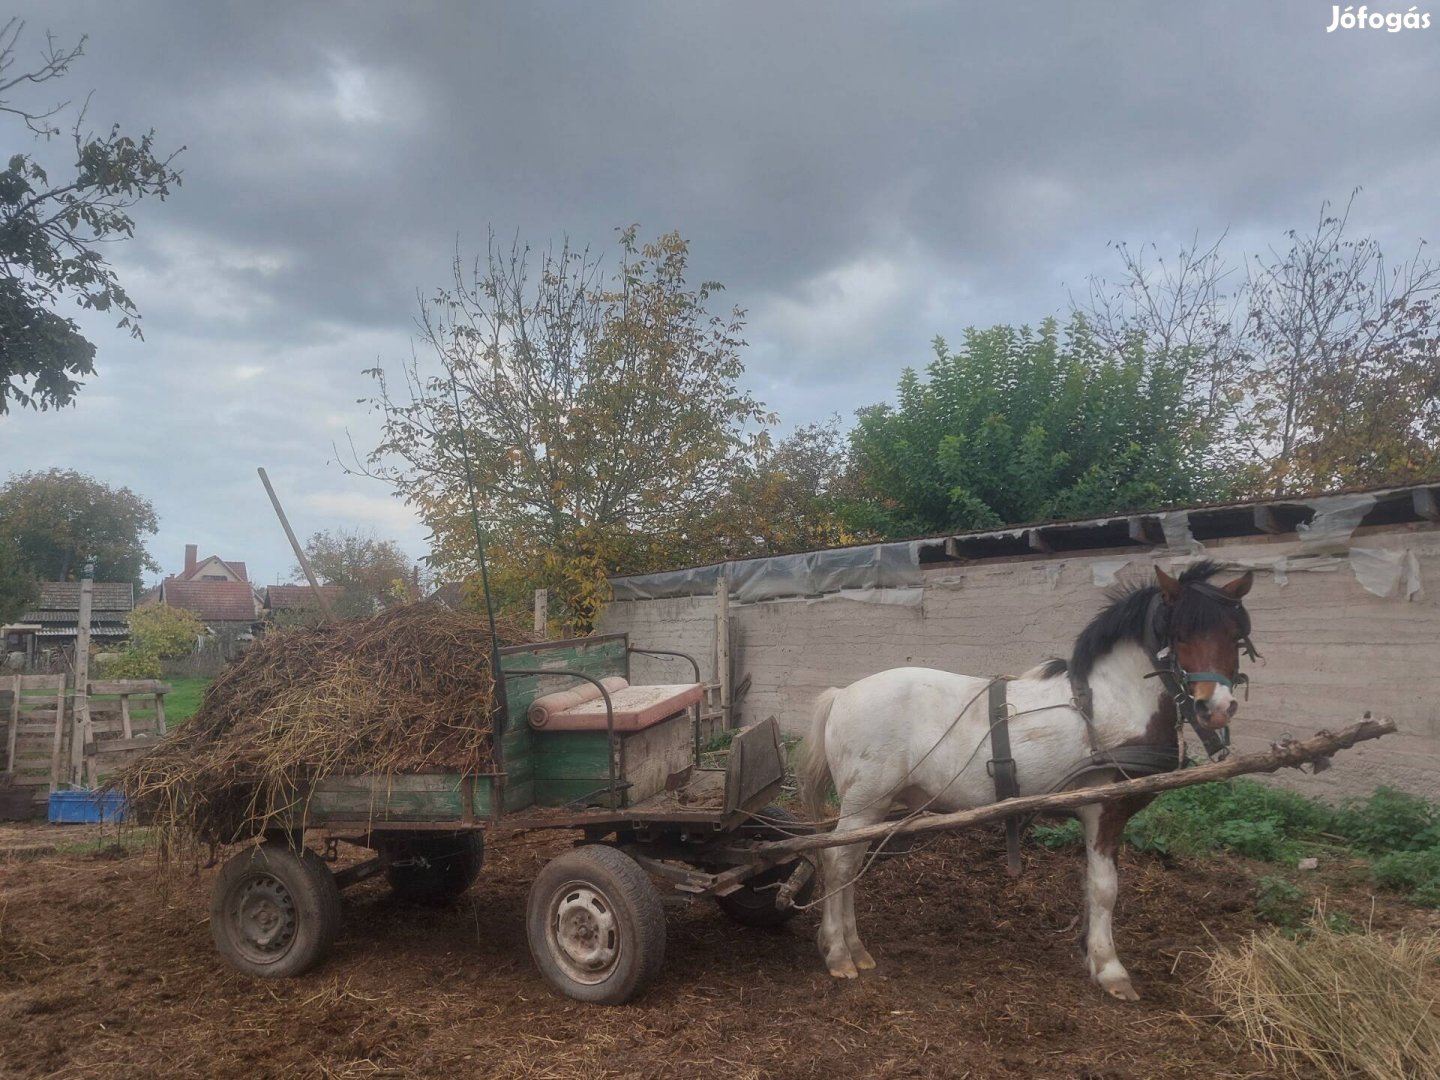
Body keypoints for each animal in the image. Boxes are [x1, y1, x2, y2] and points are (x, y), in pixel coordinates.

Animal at [794, 561, 1255, 1002]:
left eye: (1235, 636)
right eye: (1179, 636)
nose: (1216, 708)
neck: (1112, 705)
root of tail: (841, 694)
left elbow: (1092, 886)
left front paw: (1090, 951)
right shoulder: (1105, 810)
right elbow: (1105, 888)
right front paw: (1110, 969)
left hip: (875, 808)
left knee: (850, 865)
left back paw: (854, 948)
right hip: (864, 803)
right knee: (838, 863)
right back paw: (838, 952)